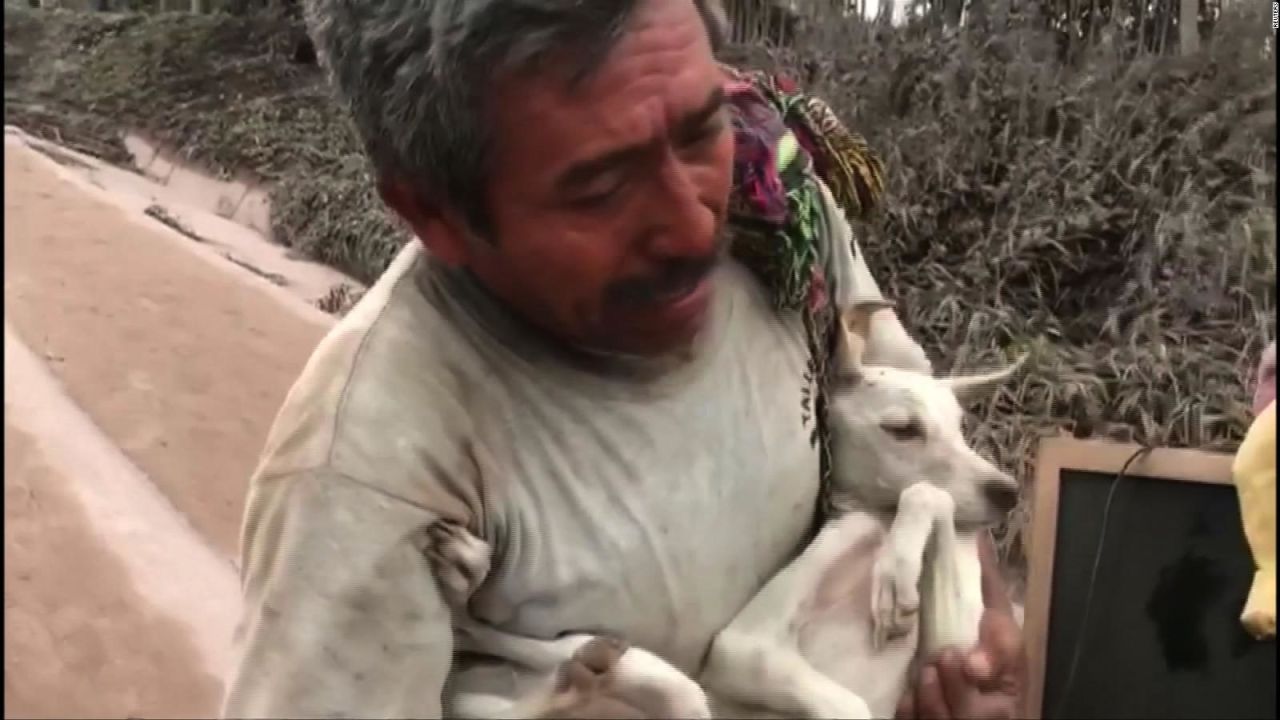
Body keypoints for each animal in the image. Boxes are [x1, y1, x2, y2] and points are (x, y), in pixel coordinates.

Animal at [424, 299, 1024, 712]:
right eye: (902, 428)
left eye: (960, 427)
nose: (1007, 491)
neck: (873, 522)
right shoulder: (743, 649)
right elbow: (849, 704)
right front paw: (895, 578)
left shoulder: (944, 659)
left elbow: (931, 497)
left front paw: (894, 577)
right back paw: (467, 586)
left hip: (667, 690)